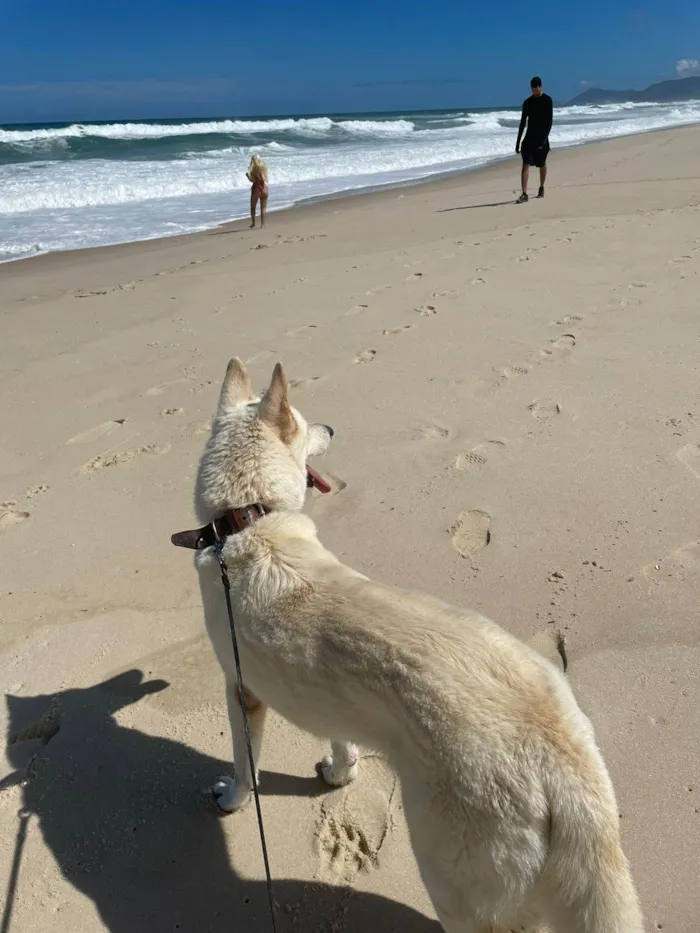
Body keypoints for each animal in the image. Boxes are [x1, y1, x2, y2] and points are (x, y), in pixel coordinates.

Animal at [178, 358, 644, 932]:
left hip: (451, 876)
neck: (247, 521)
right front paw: (340, 774)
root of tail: (561, 756)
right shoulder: (330, 703)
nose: (332, 428)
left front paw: (234, 799)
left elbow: (246, 766)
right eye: (309, 425)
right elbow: (341, 740)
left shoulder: (241, 691)